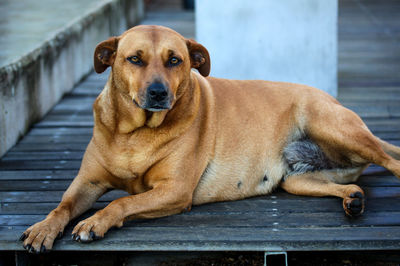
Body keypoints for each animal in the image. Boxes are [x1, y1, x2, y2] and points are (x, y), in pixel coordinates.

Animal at [21, 25, 400, 254]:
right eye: (135, 59)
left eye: (175, 60)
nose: (158, 93)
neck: (136, 133)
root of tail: (332, 99)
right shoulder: (87, 182)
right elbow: (63, 205)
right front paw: (43, 228)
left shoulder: (175, 191)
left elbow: (122, 203)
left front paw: (95, 221)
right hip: (297, 179)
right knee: (351, 184)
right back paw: (352, 199)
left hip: (335, 127)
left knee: (391, 160)